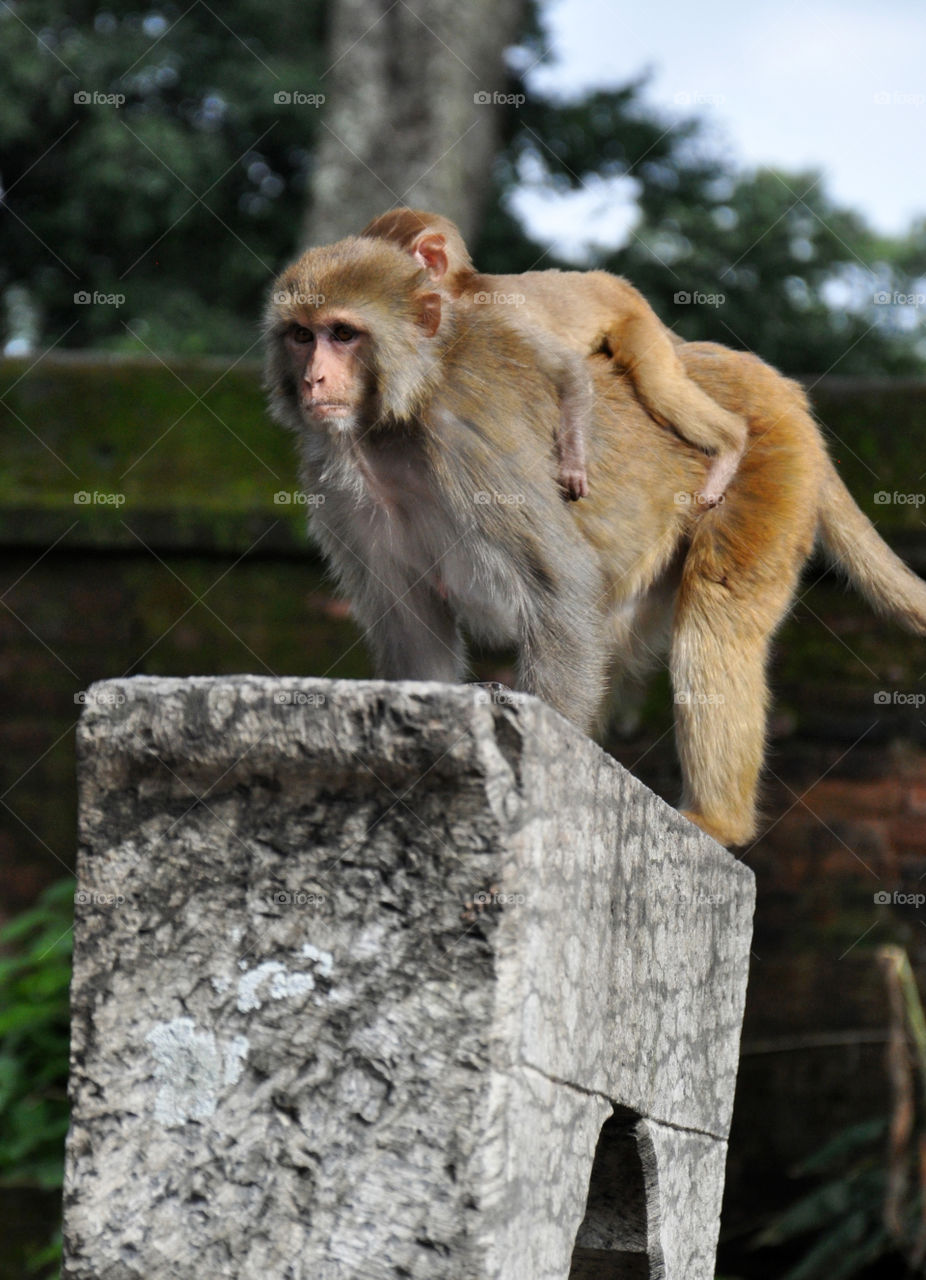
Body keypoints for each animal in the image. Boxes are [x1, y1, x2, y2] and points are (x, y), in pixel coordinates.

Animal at [262, 238, 926, 849]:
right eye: (300, 335)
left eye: (343, 333)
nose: (314, 378)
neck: (393, 423)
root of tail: (783, 389)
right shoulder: (339, 489)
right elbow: (412, 625)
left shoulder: (468, 437)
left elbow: (559, 583)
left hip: (770, 470)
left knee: (715, 616)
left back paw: (718, 821)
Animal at [361, 206, 747, 504]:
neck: (456, 296)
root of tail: (611, 281)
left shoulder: (498, 317)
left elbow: (569, 369)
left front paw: (573, 464)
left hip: (634, 318)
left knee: (659, 385)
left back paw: (732, 443)